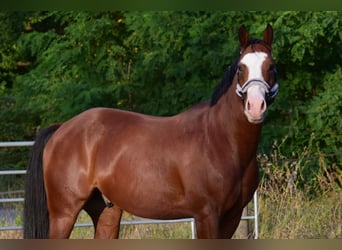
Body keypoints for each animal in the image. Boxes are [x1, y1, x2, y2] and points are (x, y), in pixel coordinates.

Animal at [23, 24, 278, 239]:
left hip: (107, 211)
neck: (220, 140)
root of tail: (62, 128)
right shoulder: (207, 215)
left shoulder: (232, 217)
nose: (255, 106)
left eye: (271, 67)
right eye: (240, 68)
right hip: (64, 213)